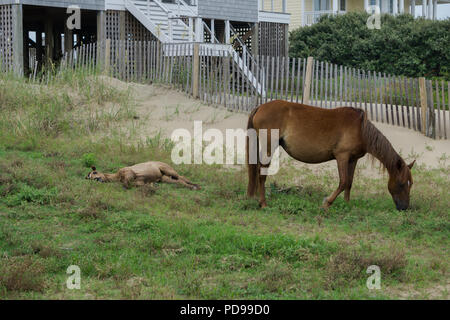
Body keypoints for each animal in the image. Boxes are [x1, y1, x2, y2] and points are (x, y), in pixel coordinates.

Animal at [246, 100, 414, 210]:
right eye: (401, 183)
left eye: (410, 184)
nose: (404, 207)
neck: (360, 129)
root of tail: (260, 107)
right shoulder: (342, 157)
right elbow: (343, 182)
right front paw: (327, 203)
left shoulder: (352, 160)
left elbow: (350, 183)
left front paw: (346, 204)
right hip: (269, 147)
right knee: (261, 173)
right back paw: (263, 203)